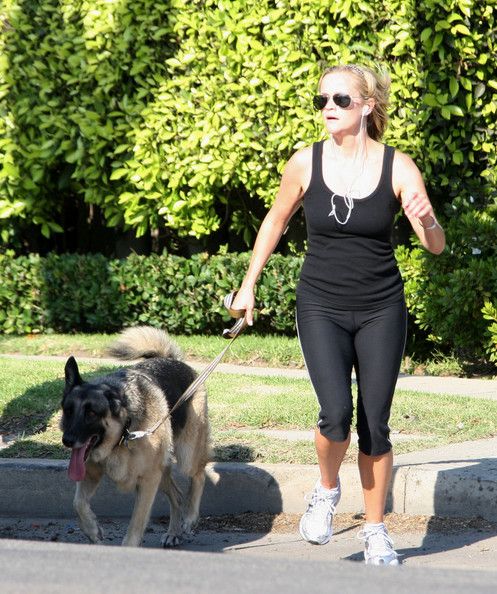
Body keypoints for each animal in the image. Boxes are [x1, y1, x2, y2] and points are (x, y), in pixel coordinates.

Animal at [60, 324, 211, 544]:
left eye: (91, 414)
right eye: (68, 410)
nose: (68, 441)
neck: (123, 434)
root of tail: (174, 361)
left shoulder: (148, 482)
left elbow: (136, 525)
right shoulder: (91, 472)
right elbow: (77, 503)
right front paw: (92, 529)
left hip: (186, 456)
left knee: (199, 475)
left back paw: (190, 517)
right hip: (163, 471)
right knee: (177, 495)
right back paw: (173, 532)